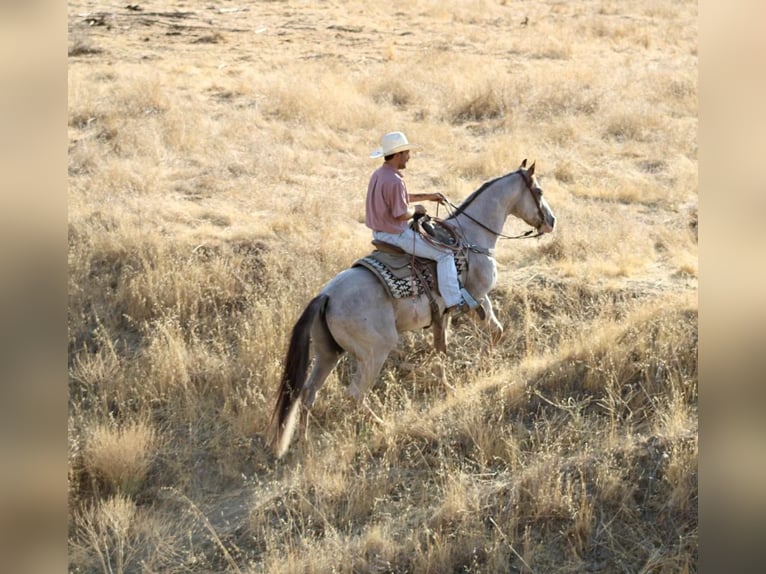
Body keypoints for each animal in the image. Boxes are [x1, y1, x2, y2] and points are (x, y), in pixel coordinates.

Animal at [269, 159, 556, 457]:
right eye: (539, 190)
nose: (551, 221)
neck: (471, 237)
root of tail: (325, 296)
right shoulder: (479, 297)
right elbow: (495, 331)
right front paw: (481, 365)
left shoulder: (444, 314)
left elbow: (443, 347)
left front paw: (449, 382)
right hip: (374, 352)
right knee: (355, 394)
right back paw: (382, 425)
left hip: (328, 354)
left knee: (308, 393)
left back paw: (303, 443)